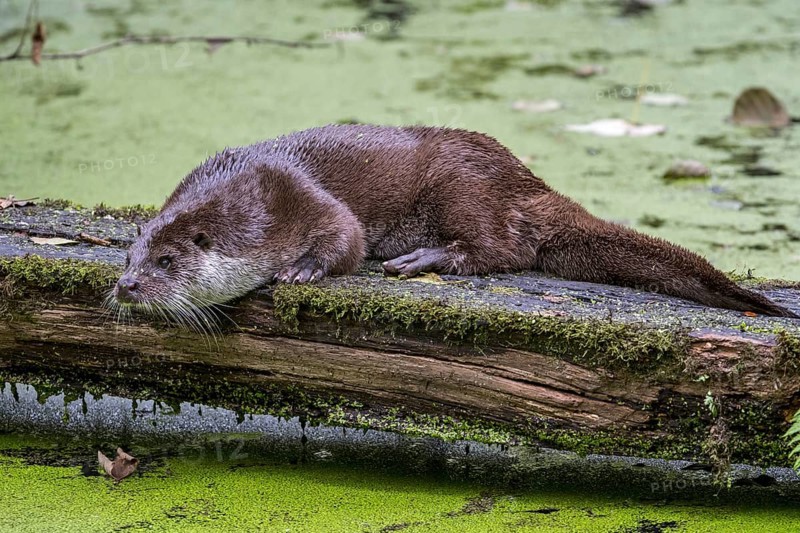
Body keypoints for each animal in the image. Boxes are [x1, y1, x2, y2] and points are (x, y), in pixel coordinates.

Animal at [114, 124, 797, 319]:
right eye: (129, 258)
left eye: (167, 261)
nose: (124, 287)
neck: (246, 198)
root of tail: (528, 180)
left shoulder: (296, 195)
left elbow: (345, 236)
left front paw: (301, 270)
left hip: (459, 184)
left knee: (508, 249)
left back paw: (429, 257)